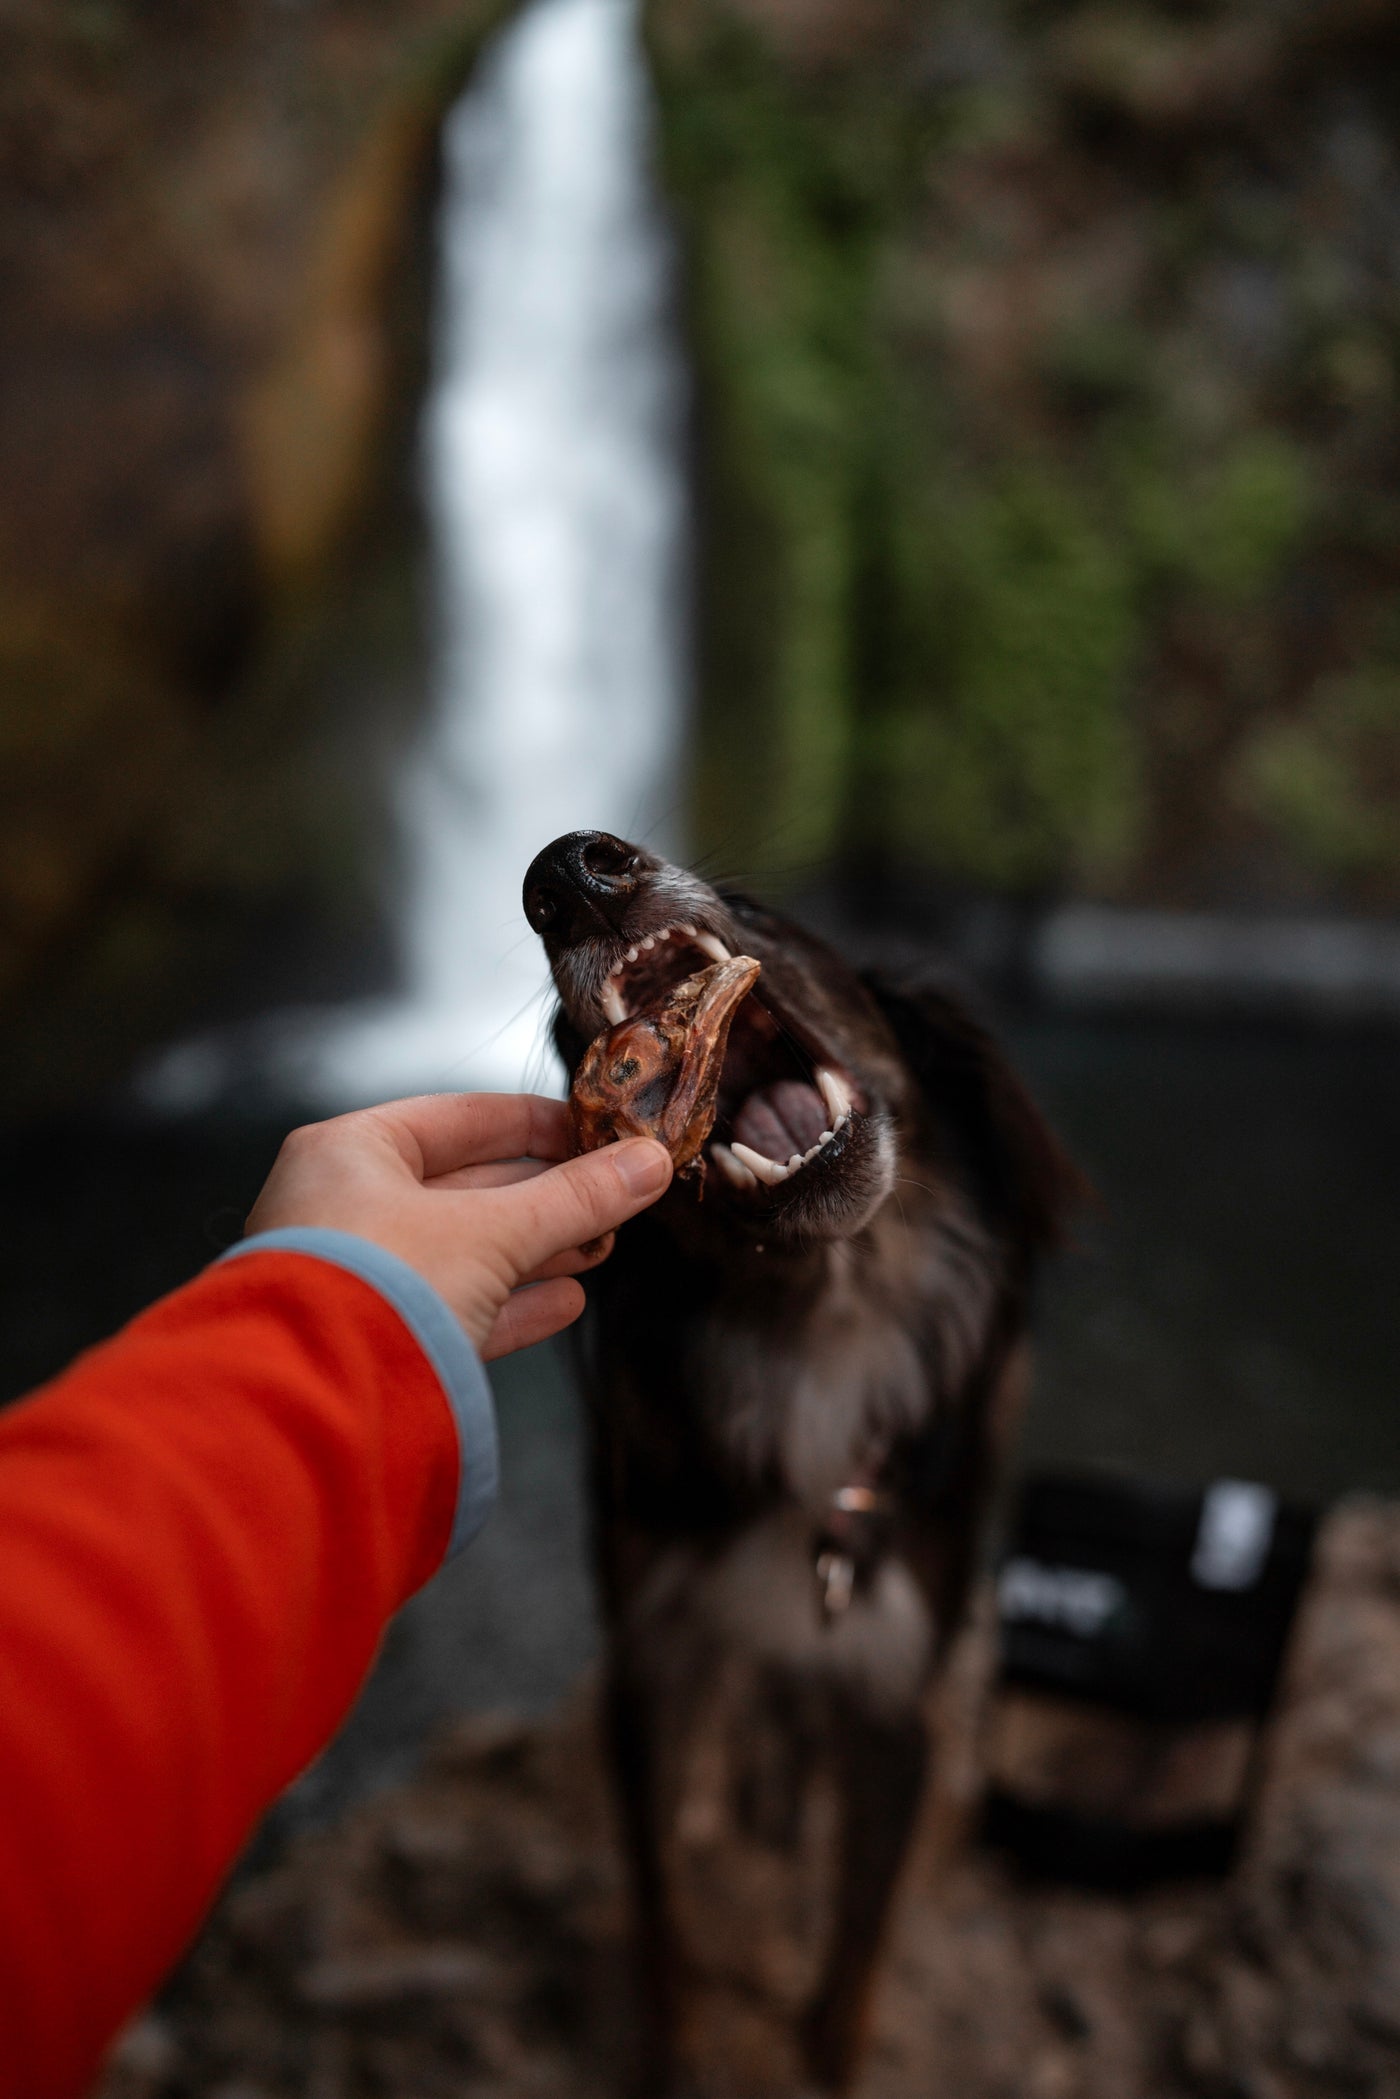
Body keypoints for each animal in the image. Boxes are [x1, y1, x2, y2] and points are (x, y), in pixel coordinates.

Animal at [524, 827, 1083, 2090]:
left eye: (763, 914)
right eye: (572, 1046)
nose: (565, 871)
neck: (817, 1328)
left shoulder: (891, 1694)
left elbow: (851, 1961)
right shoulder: (654, 1655)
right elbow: (663, 1920)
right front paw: (671, 2051)